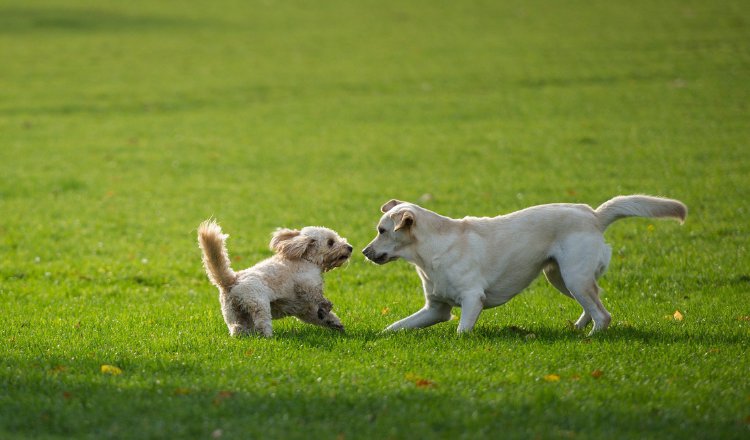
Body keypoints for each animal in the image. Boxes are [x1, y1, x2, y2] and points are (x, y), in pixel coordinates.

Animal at [198, 220, 354, 336]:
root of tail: (232, 280)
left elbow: (320, 315)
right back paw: (268, 337)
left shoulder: (305, 309)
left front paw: (335, 323)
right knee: (262, 325)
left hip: (233, 313)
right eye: (331, 242)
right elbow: (321, 299)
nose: (350, 247)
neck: (306, 259)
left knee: (237, 328)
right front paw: (326, 308)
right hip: (259, 305)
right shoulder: (308, 285)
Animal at [364, 194, 688, 336]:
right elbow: (395, 326)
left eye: (382, 230)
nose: (365, 252)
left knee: (603, 314)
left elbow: (462, 331)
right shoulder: (436, 309)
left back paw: (590, 338)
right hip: (559, 277)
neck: (429, 252)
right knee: (593, 305)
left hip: (574, 277)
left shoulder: (472, 299)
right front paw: (379, 337)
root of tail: (594, 215)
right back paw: (577, 328)